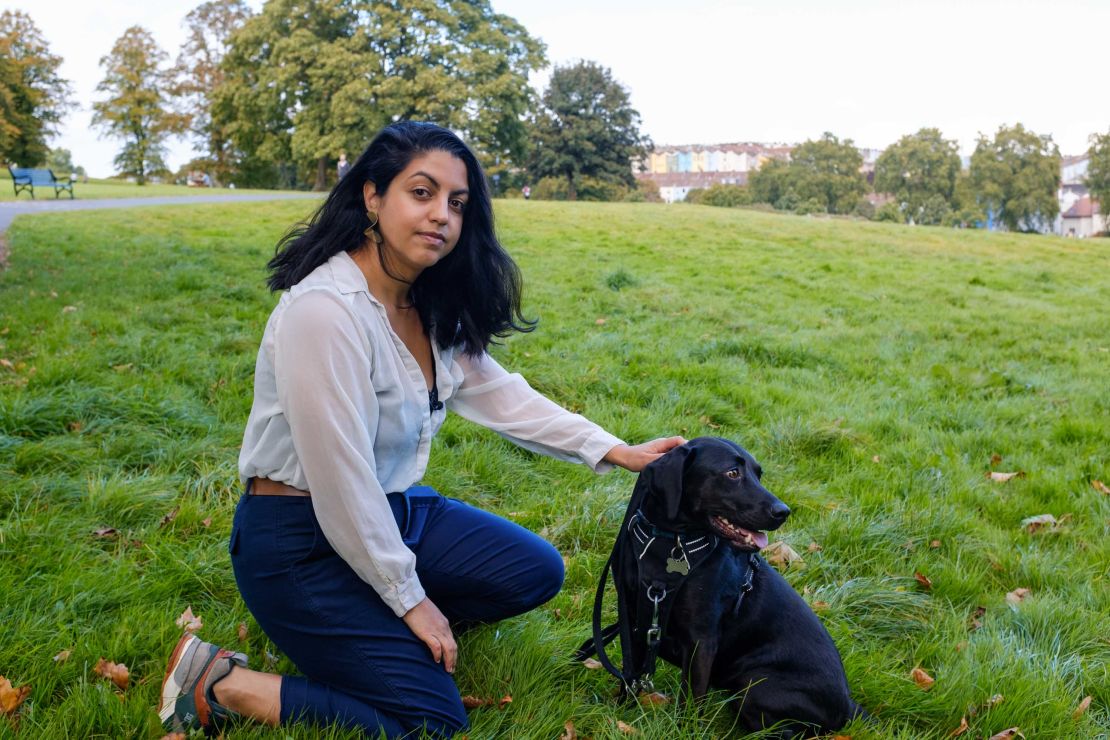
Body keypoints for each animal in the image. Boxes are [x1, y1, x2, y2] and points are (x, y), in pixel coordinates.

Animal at [599, 437, 856, 736]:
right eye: (732, 473)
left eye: (758, 474)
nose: (783, 512)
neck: (670, 542)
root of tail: (849, 709)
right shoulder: (635, 619)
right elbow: (629, 676)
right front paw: (620, 716)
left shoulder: (701, 641)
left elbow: (691, 700)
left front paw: (685, 732)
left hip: (755, 685)